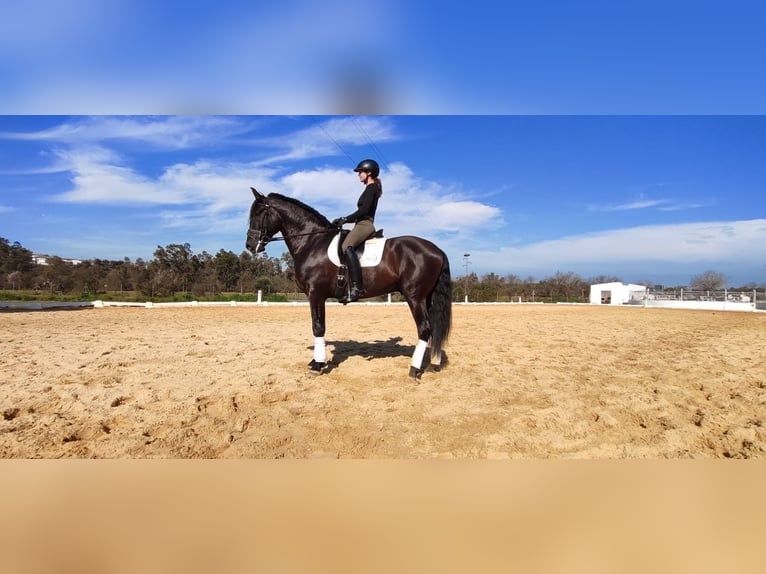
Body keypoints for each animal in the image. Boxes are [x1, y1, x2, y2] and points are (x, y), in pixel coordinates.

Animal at [246, 188, 452, 380]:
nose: (250, 246)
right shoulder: (317, 295)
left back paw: (414, 369)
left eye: (259, 213)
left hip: (415, 297)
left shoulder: (316, 293)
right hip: (426, 297)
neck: (312, 240)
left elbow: (318, 326)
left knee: (425, 329)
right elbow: (318, 325)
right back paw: (433, 364)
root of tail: (437, 250)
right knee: (434, 328)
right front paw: (316, 361)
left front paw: (318, 365)